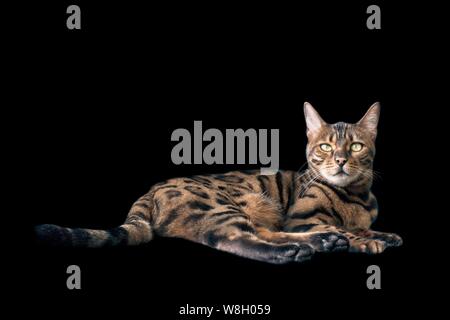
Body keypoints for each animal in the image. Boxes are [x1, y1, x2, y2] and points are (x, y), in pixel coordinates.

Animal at [34, 103, 400, 264]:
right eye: (325, 146)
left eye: (356, 147)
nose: (339, 159)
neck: (356, 196)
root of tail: (148, 192)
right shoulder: (299, 219)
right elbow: (348, 229)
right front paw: (364, 241)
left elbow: (361, 227)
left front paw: (381, 235)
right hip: (220, 207)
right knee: (236, 238)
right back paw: (296, 250)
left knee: (262, 231)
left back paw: (324, 243)